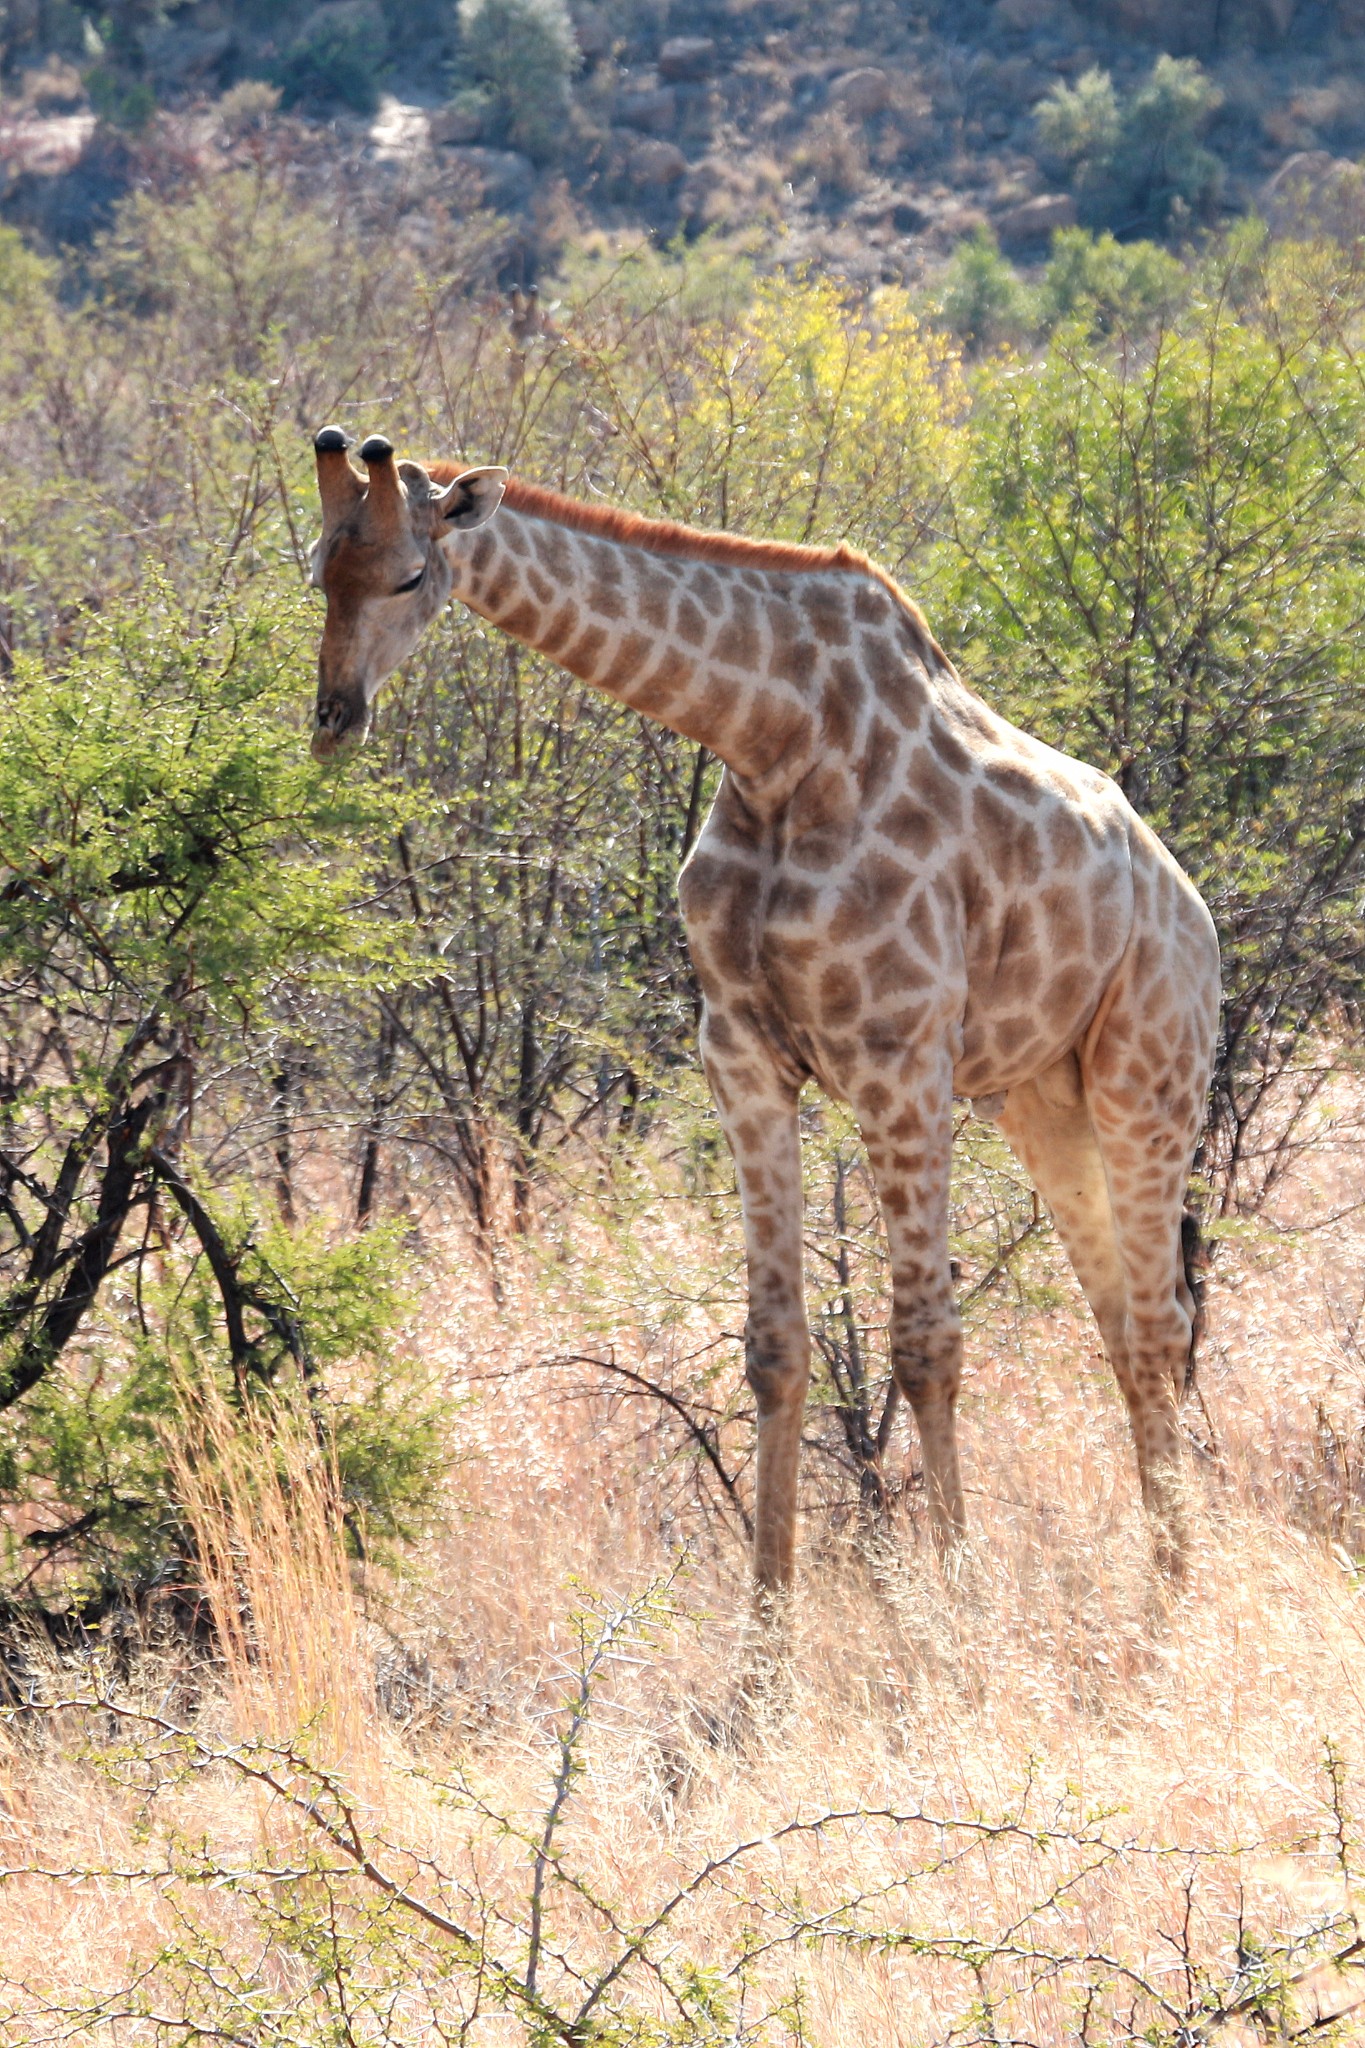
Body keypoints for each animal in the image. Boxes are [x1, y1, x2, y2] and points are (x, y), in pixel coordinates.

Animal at [313, 423, 1227, 1589]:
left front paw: (958, 1604)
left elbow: (926, 1343)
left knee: (1160, 1321)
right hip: (1042, 1102)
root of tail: (1193, 910)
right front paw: (766, 1621)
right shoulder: (740, 1054)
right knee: (1121, 1320)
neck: (772, 737)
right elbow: (775, 1347)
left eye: (409, 575)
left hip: (1147, 1079)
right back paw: (1160, 1588)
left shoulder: (898, 1057)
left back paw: (1178, 1597)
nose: (333, 719)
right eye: (317, 570)